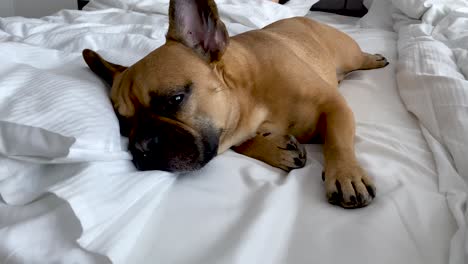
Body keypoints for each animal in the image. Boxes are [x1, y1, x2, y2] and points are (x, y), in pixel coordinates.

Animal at [83, 0, 388, 208]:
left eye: (175, 99)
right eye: (124, 125)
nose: (142, 146)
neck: (249, 99)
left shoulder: (334, 104)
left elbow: (337, 139)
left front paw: (347, 174)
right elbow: (241, 143)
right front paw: (276, 148)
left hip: (347, 53)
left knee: (359, 58)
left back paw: (374, 59)